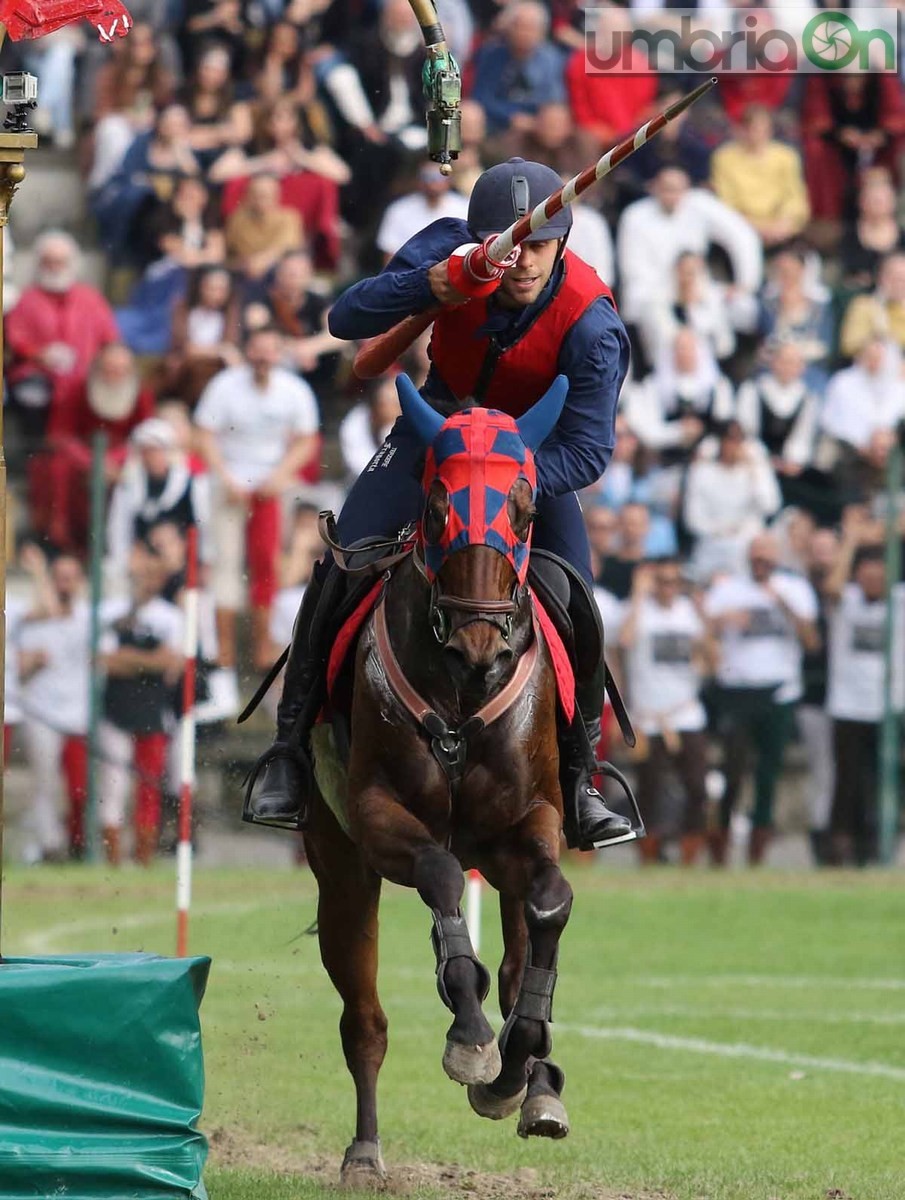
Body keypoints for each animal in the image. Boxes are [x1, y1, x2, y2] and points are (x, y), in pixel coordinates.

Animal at [307, 372, 578, 1180]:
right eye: (433, 507)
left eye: (525, 510)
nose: (479, 645)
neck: (459, 697)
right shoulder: (374, 815)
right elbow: (438, 873)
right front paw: (471, 1036)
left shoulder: (533, 822)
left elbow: (551, 906)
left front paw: (518, 1067)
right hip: (338, 867)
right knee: (363, 1019)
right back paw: (365, 1151)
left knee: (521, 949)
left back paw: (536, 1088)